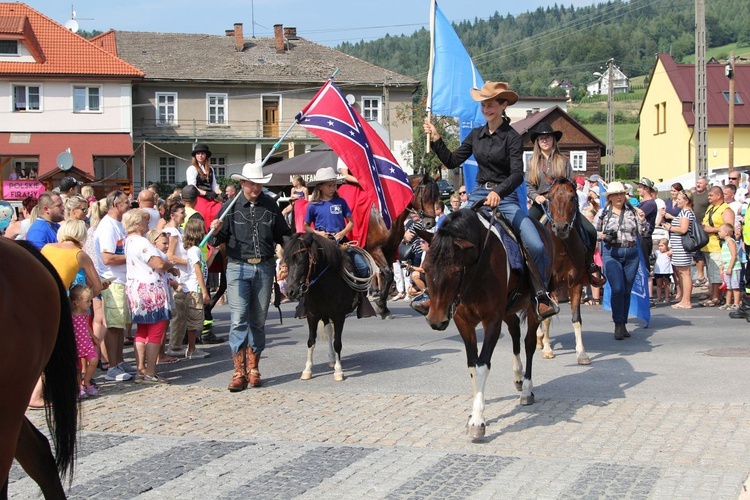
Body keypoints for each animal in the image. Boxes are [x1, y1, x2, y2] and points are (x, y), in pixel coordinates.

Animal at [364, 174, 440, 318]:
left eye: (436, 197)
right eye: (426, 196)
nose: (430, 223)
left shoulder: (389, 251)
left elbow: (387, 277)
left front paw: (383, 306)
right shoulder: (375, 249)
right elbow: (388, 275)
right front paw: (381, 305)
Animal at [420, 209, 556, 440]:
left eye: (457, 271)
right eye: (426, 268)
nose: (436, 321)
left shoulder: (492, 320)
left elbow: (482, 365)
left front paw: (477, 421)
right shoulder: (463, 321)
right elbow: (472, 365)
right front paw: (475, 409)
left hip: (531, 306)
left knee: (529, 343)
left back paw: (526, 388)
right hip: (508, 309)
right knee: (514, 332)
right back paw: (518, 376)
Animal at [540, 178, 592, 366]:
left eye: (572, 197)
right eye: (550, 197)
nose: (561, 227)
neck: (561, 248)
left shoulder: (575, 284)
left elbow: (576, 318)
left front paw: (582, 353)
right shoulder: (546, 286)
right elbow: (546, 316)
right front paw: (547, 350)